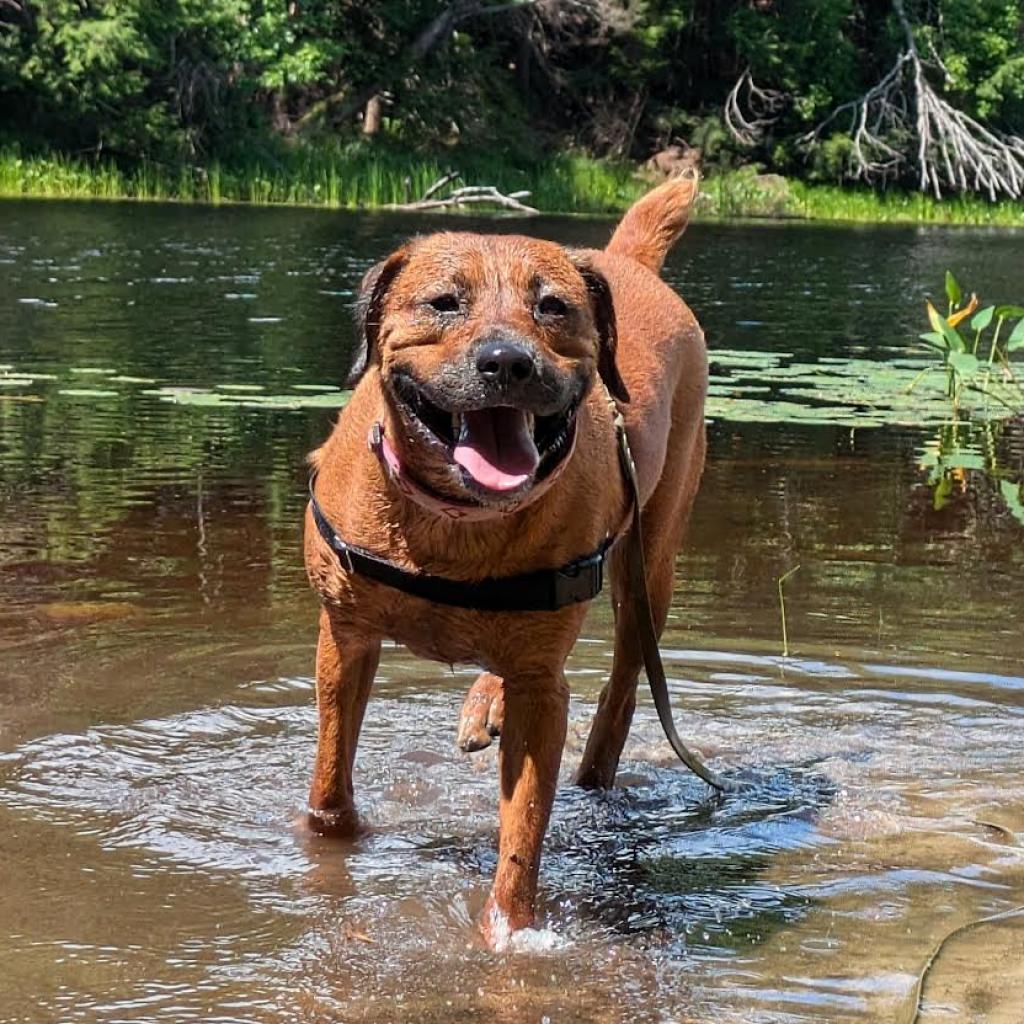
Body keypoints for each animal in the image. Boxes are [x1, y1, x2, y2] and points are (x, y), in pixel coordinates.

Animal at [301, 172, 704, 946]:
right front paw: (330, 843)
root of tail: (625, 261)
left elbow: (522, 833)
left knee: (619, 691)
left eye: (553, 306)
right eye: (443, 302)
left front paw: (508, 936)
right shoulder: (344, 635)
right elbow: (331, 778)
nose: (507, 361)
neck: (458, 523)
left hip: (651, 565)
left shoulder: (543, 692)